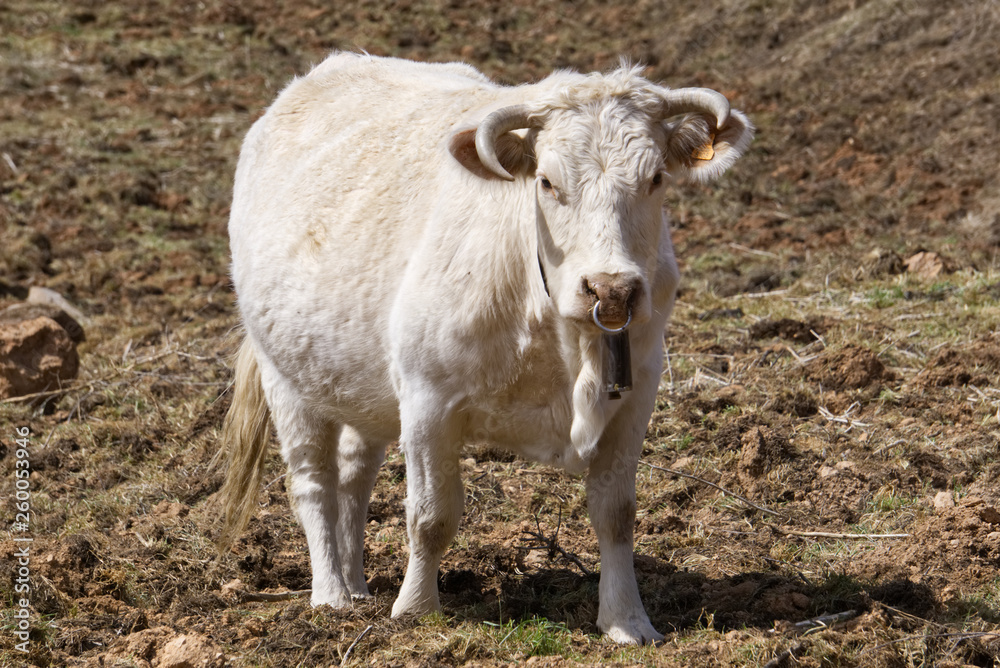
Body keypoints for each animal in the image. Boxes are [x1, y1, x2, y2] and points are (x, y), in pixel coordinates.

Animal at [219, 52, 752, 640]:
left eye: (655, 178)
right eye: (547, 182)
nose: (611, 289)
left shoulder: (636, 397)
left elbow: (616, 513)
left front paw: (627, 622)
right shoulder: (427, 400)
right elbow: (431, 515)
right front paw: (415, 612)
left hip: (360, 386)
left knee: (355, 476)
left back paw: (357, 587)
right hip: (287, 379)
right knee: (313, 482)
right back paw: (332, 595)